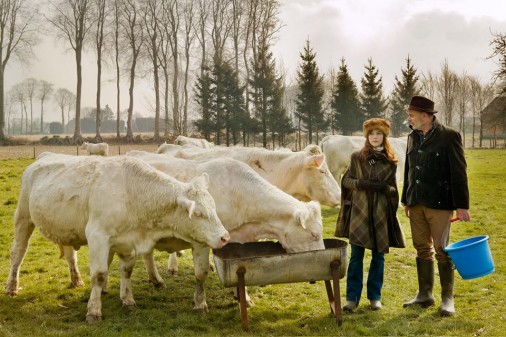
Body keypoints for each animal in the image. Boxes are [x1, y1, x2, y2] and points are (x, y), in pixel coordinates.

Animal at [4, 152, 227, 320]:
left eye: (214, 207)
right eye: (198, 214)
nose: (224, 237)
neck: (132, 194)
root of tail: (45, 155)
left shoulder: (128, 241)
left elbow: (127, 271)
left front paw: (128, 301)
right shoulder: (97, 236)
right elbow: (100, 274)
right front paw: (94, 311)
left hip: (64, 227)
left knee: (69, 254)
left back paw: (76, 279)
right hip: (23, 217)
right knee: (18, 253)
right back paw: (11, 287)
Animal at [126, 152, 324, 308]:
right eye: (314, 235)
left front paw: (243, 298)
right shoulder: (203, 240)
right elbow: (201, 273)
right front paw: (200, 302)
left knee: (147, 254)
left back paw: (156, 279)